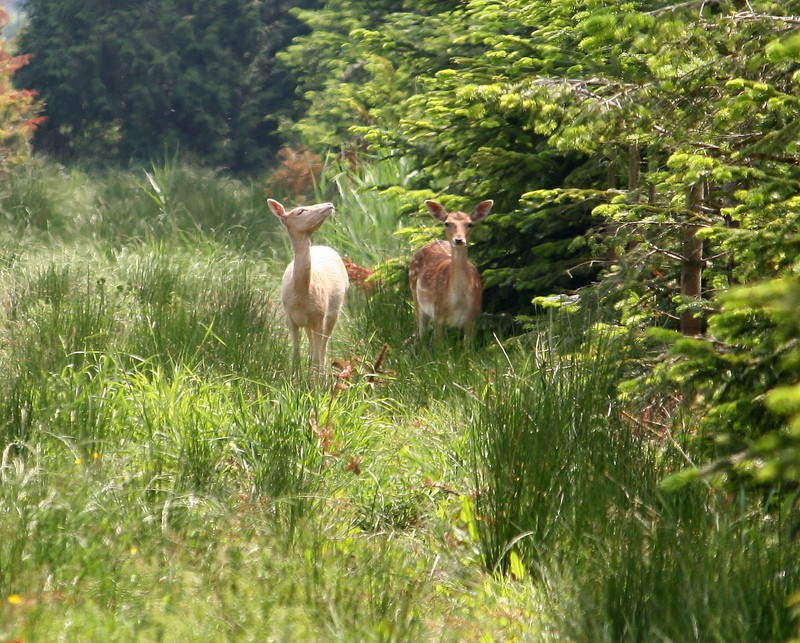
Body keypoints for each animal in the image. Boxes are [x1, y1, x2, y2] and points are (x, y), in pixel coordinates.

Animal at [268, 199, 348, 374]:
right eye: (300, 211)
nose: (329, 204)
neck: (302, 297)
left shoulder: (320, 316)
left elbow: (318, 358)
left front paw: (314, 381)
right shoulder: (290, 318)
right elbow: (295, 355)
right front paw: (294, 377)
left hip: (333, 313)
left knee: (323, 350)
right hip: (309, 323)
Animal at [410, 200, 490, 342]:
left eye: (470, 224)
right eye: (447, 223)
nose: (458, 239)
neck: (458, 300)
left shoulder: (473, 316)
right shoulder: (438, 313)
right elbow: (439, 345)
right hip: (415, 296)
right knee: (422, 330)